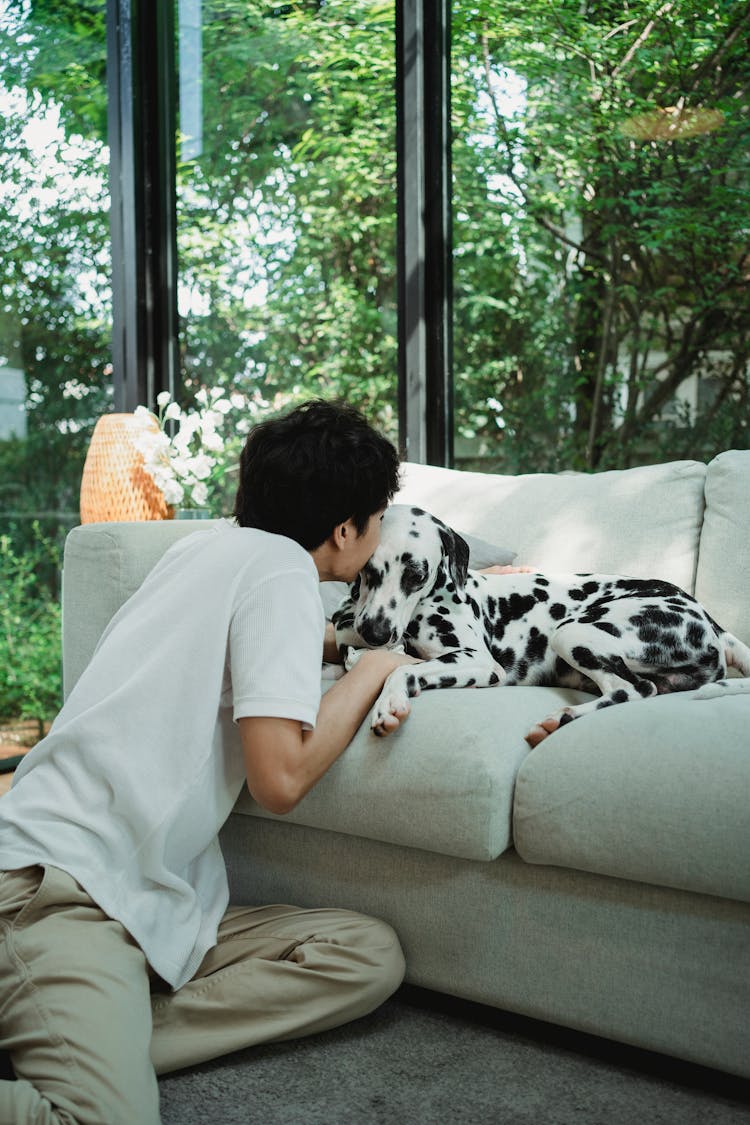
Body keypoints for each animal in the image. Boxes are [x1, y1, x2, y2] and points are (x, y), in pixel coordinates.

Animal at [335, 506, 750, 742]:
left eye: (416, 575)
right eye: (368, 569)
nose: (375, 633)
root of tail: (705, 616)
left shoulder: (479, 662)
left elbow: (399, 671)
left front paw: (389, 701)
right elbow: (359, 657)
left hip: (572, 633)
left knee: (632, 689)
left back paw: (564, 717)